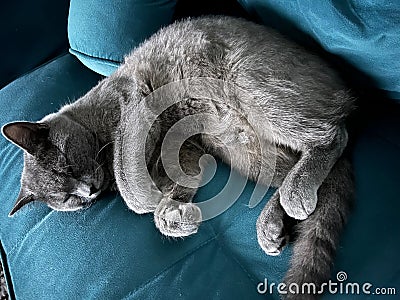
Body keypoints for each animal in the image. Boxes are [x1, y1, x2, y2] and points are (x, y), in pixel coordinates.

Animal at [2, 15, 354, 298]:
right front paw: (173, 215)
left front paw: (148, 200)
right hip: (239, 146)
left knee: (335, 135)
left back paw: (296, 193)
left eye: (68, 166)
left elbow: (126, 176)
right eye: (69, 199)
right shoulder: (187, 149)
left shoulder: (131, 97)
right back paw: (270, 225)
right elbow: (180, 179)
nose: (87, 191)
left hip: (252, 86)